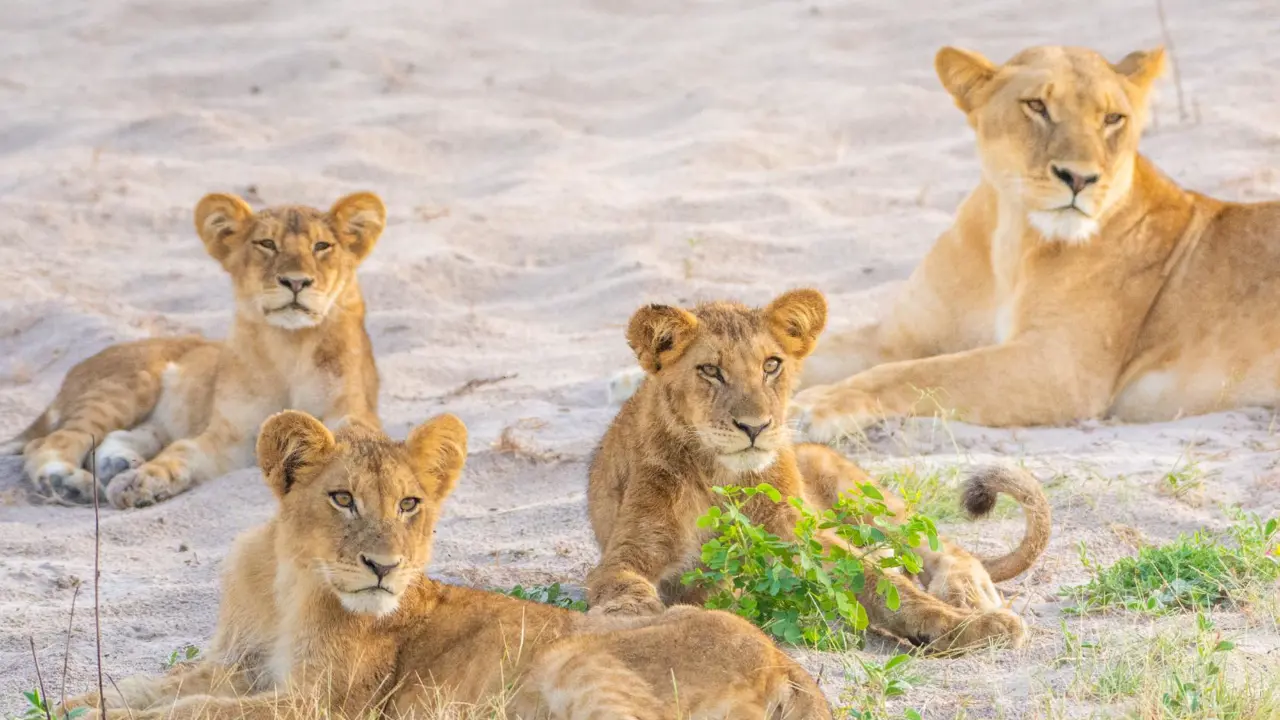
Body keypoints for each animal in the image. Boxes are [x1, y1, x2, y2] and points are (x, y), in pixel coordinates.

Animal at [1, 192, 385, 508]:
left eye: (322, 246)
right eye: (266, 243)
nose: (296, 281)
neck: (289, 345)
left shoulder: (352, 412)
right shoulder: (230, 437)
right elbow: (182, 453)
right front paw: (140, 481)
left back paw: (115, 464)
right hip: (127, 385)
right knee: (55, 439)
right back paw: (68, 482)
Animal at [64, 411, 832, 720]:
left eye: (410, 504)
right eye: (341, 498)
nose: (382, 568)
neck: (289, 578)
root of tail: (786, 662)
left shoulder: (324, 704)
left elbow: (194, 710)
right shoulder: (240, 662)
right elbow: (151, 687)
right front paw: (81, 704)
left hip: (575, 655)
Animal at [588, 289, 1050, 652]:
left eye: (771, 365)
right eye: (710, 371)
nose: (754, 427)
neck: (721, 477)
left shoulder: (799, 538)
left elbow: (883, 585)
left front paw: (971, 627)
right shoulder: (629, 551)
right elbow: (624, 588)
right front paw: (635, 624)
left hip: (855, 490)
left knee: (942, 547)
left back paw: (967, 595)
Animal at [787, 45, 1280, 440]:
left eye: (1112, 119)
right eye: (1037, 106)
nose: (1079, 178)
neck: (1011, 238)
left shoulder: (1060, 367)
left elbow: (917, 372)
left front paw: (813, 407)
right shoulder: (898, 336)